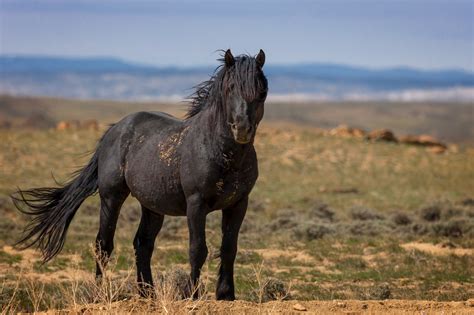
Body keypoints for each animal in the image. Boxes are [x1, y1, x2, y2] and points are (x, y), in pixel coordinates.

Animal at [12, 49, 266, 302]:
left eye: (261, 90)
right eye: (230, 88)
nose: (242, 129)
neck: (219, 151)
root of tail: (115, 129)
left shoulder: (238, 204)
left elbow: (229, 248)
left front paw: (226, 294)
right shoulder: (196, 204)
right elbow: (197, 250)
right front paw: (192, 296)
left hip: (152, 207)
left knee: (142, 244)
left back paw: (147, 292)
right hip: (111, 198)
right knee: (103, 244)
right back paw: (100, 293)